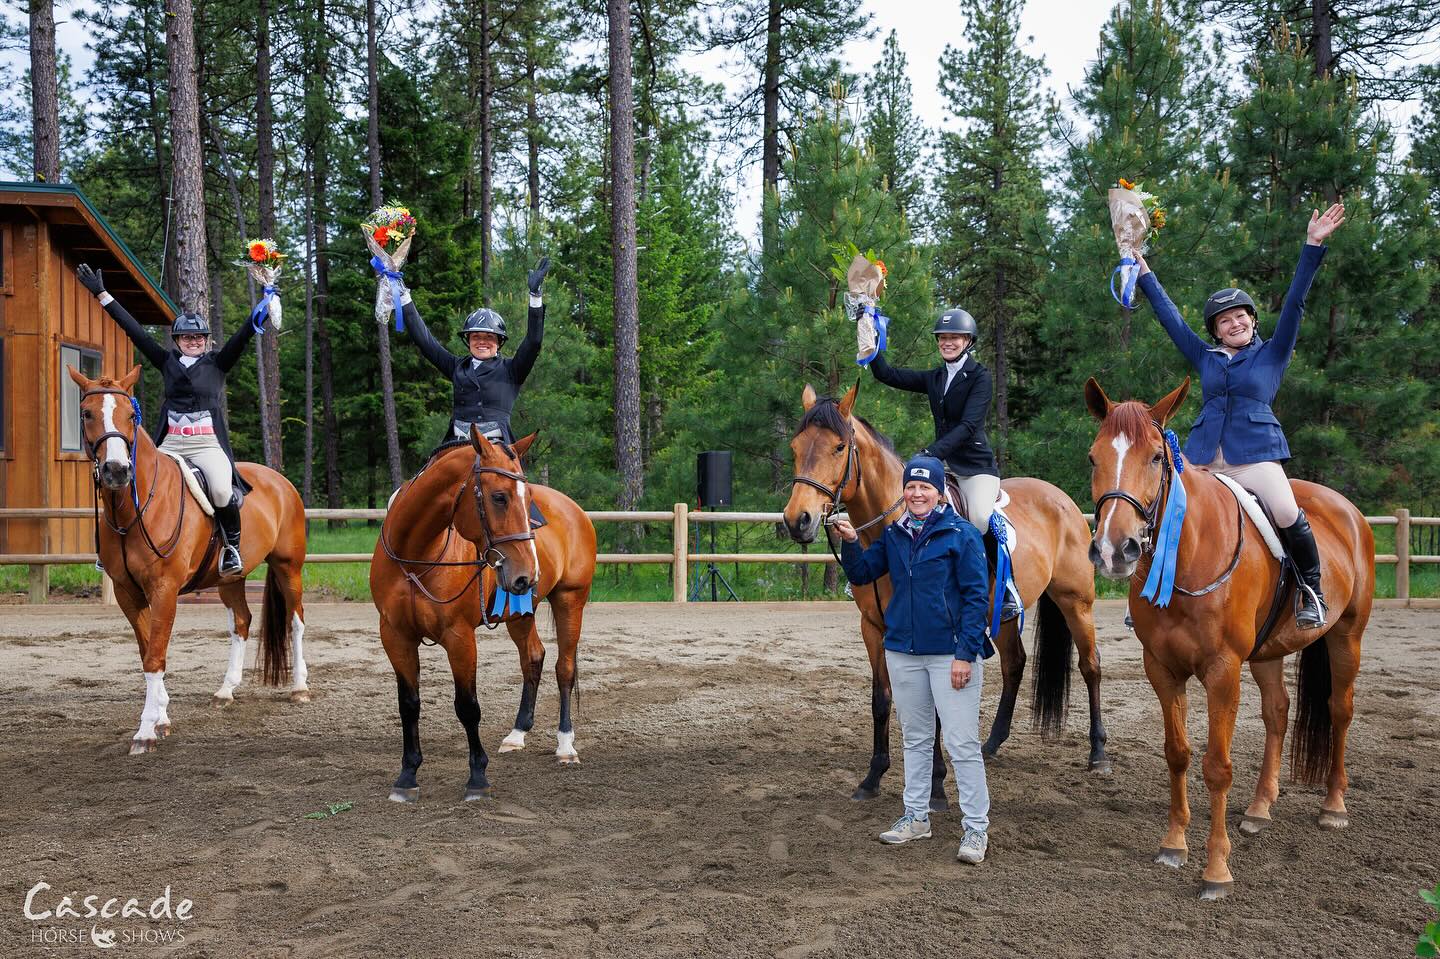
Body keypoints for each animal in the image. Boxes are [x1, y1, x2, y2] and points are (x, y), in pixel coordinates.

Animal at [69, 365, 310, 755]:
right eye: (87, 414)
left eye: (130, 415)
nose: (116, 470)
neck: (134, 507)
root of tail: (278, 480)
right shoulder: (127, 593)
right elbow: (147, 652)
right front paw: (161, 717)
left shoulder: (164, 590)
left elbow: (156, 655)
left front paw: (146, 731)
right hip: (230, 579)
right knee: (241, 622)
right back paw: (226, 691)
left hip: (289, 567)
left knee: (296, 621)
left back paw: (300, 688)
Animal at [370, 428, 597, 802]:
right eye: (499, 497)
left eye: (528, 497)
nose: (527, 573)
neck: (416, 555)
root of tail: (574, 509)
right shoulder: (395, 636)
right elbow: (409, 704)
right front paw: (407, 775)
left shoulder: (459, 637)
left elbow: (467, 706)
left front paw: (477, 778)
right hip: (520, 612)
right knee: (533, 657)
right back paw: (517, 733)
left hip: (570, 599)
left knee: (564, 668)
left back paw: (565, 745)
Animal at [783, 381, 1109, 809]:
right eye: (795, 446)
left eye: (839, 447)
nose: (797, 520)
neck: (899, 529)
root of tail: (1063, 499)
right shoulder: (874, 628)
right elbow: (881, 699)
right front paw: (873, 777)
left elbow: (936, 706)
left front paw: (936, 787)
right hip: (1003, 615)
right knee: (1015, 664)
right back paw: (991, 744)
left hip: (1076, 602)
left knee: (1090, 666)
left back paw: (1098, 754)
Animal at [1084, 376, 1374, 899]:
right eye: (1094, 457)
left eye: (1155, 457)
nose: (1115, 549)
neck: (1189, 551)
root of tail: (1346, 509)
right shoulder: (1162, 668)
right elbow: (1177, 754)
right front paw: (1174, 844)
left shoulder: (1222, 670)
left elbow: (1217, 766)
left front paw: (1216, 870)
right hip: (1266, 653)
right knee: (1277, 711)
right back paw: (1260, 809)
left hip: (1347, 636)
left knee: (1340, 710)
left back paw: (1333, 807)